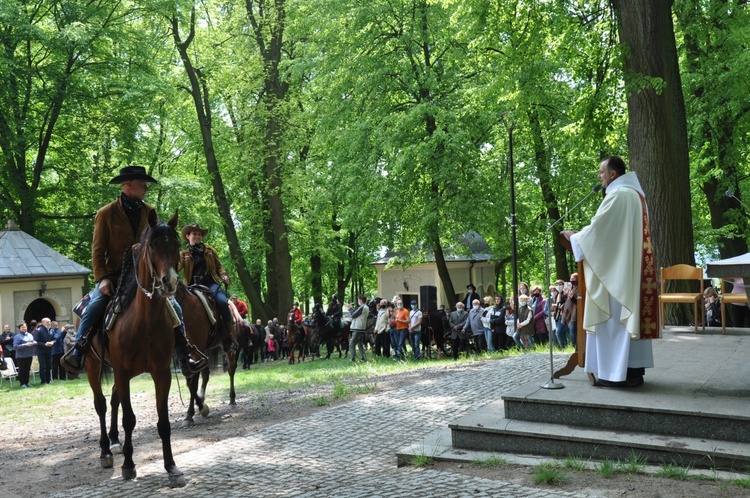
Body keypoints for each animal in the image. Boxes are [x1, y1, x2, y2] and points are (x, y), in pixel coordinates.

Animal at [83, 210, 185, 486]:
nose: (169, 282)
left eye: (177, 244)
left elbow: (163, 421)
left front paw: (171, 467)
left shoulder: (161, 373)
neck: (145, 321)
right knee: (100, 403)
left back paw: (115, 441)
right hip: (93, 366)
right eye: (152, 246)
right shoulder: (121, 370)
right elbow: (129, 418)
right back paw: (106, 451)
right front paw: (129, 465)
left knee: (114, 399)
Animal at [173, 284, 238, 424]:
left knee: (231, 370)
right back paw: (202, 398)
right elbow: (190, 382)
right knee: (206, 374)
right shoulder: (189, 356)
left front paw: (191, 414)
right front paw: (198, 407)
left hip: (227, 347)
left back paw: (232, 399)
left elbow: (193, 384)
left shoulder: (197, 352)